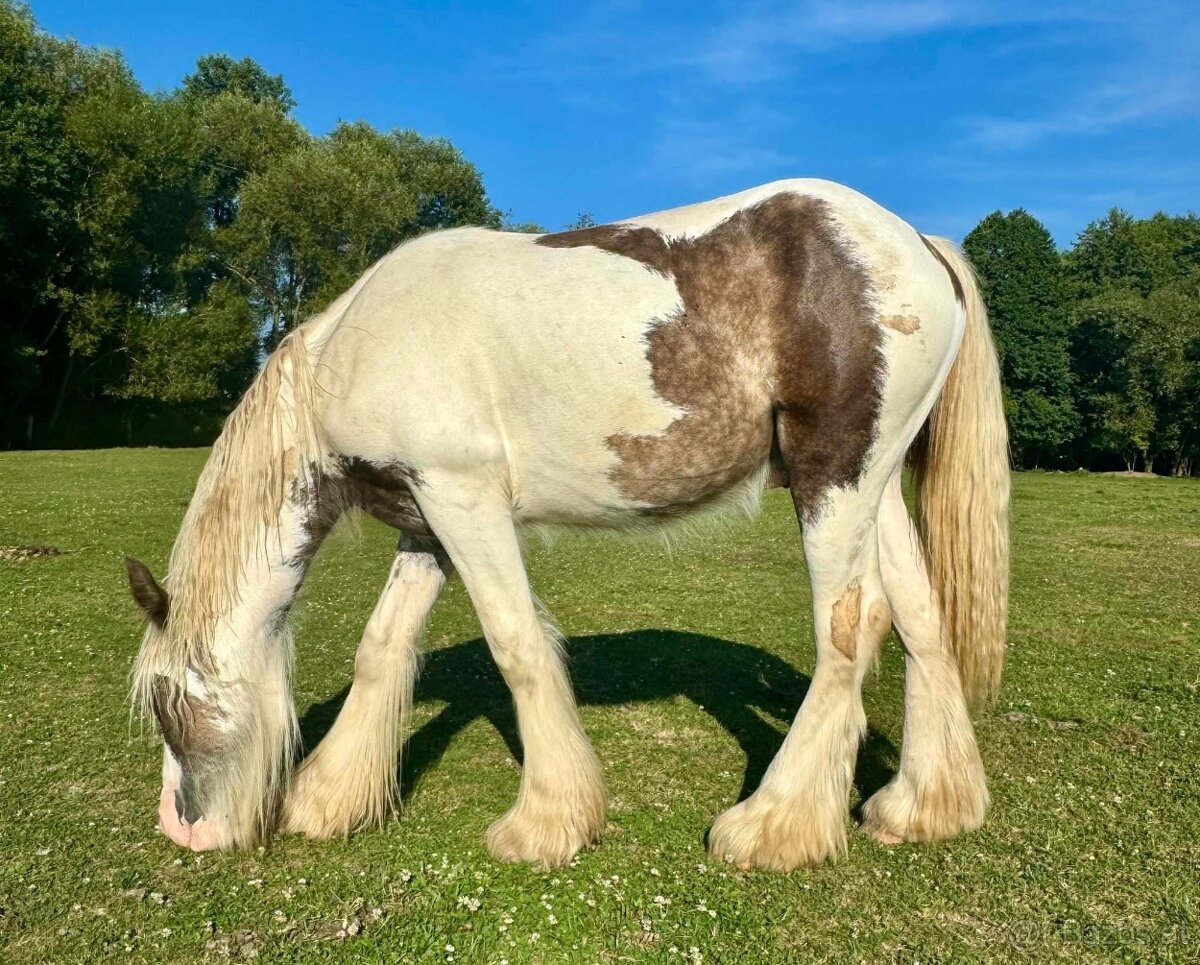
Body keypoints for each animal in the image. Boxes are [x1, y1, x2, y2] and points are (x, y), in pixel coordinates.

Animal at [126, 177, 1008, 868]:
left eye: (167, 701)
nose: (182, 829)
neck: (357, 350)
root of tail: (918, 244)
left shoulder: (464, 501)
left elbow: (516, 644)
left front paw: (546, 823)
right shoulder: (427, 521)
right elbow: (382, 646)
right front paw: (331, 798)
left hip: (835, 481)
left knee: (851, 626)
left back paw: (773, 826)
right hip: (872, 487)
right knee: (920, 620)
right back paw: (921, 807)